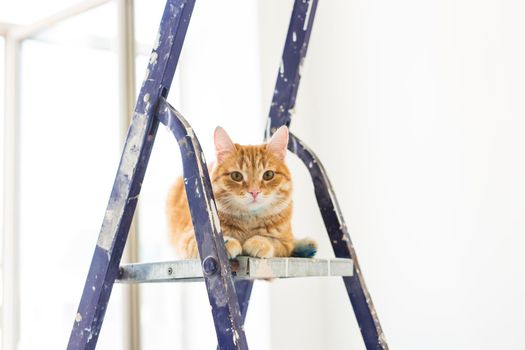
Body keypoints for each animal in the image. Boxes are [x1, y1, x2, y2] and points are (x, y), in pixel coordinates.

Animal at [168, 126, 316, 260]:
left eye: (268, 175)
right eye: (236, 176)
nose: (254, 192)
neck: (249, 221)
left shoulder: (285, 242)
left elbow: (273, 241)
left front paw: (259, 242)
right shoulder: (189, 239)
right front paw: (227, 243)